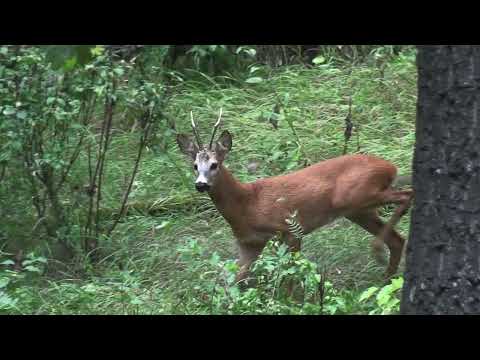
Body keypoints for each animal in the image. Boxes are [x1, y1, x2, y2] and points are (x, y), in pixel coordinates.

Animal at [176, 109, 412, 284]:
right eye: (195, 166)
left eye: (214, 164)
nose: (200, 184)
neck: (247, 203)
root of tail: (390, 167)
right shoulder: (249, 243)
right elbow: (234, 281)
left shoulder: (289, 229)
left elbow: (292, 276)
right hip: (358, 211)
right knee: (397, 239)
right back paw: (386, 279)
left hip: (357, 196)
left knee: (407, 195)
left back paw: (377, 253)